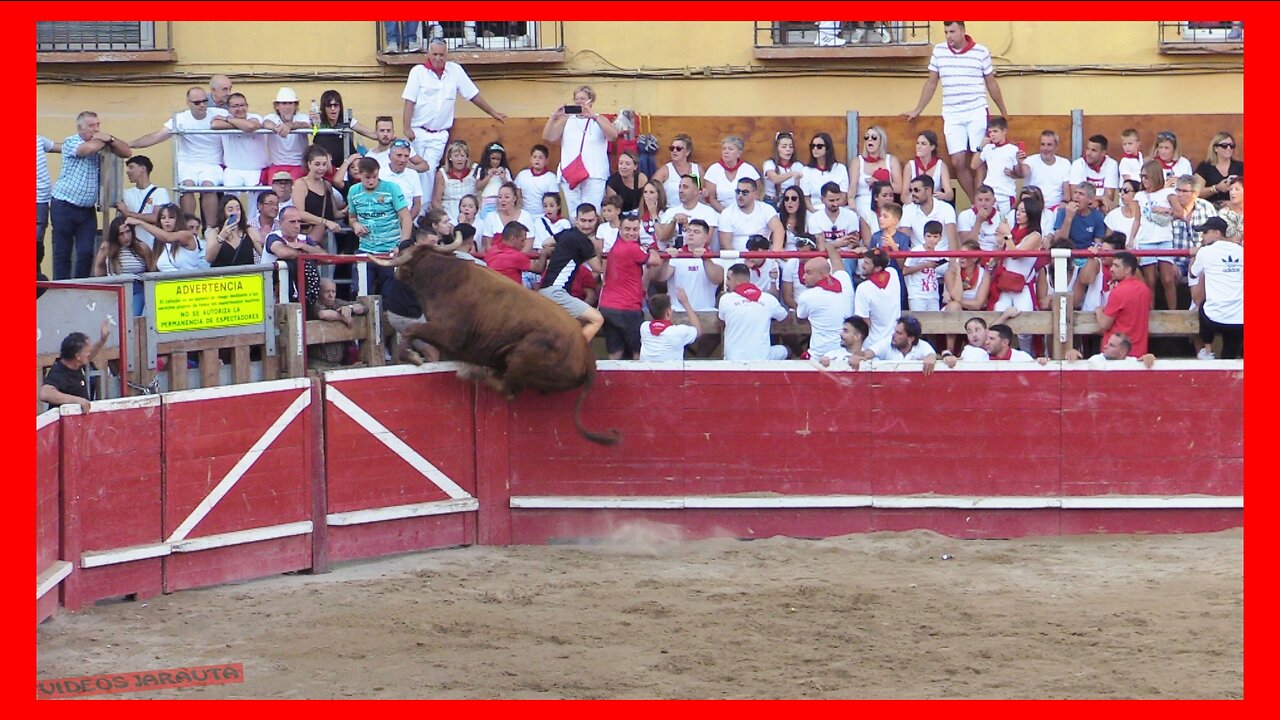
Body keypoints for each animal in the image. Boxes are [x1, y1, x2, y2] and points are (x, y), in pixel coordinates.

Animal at [373, 240, 622, 443]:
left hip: (521, 357)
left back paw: (474, 373)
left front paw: (413, 357)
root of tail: (587, 354)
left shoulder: (448, 334)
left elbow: (411, 330)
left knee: (508, 389)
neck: (443, 278)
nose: (395, 272)